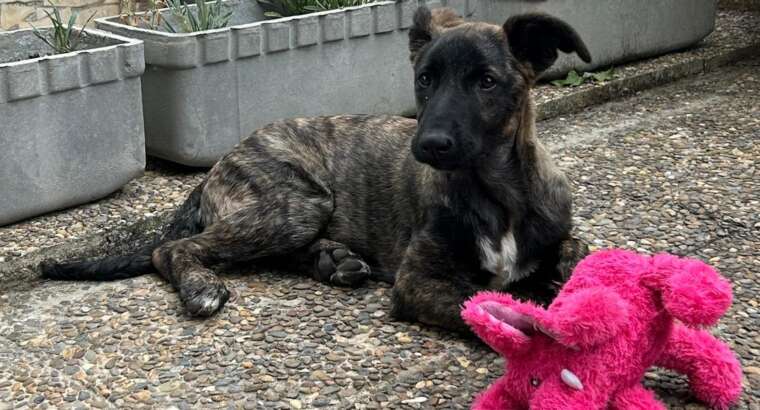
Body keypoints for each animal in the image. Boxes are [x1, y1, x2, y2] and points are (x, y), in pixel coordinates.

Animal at [41, 5, 592, 334]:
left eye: (487, 82)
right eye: (425, 79)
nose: (429, 144)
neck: (495, 192)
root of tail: (217, 165)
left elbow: (576, 251)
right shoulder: (417, 283)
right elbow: (501, 308)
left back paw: (332, 260)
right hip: (301, 201)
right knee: (173, 248)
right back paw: (204, 284)